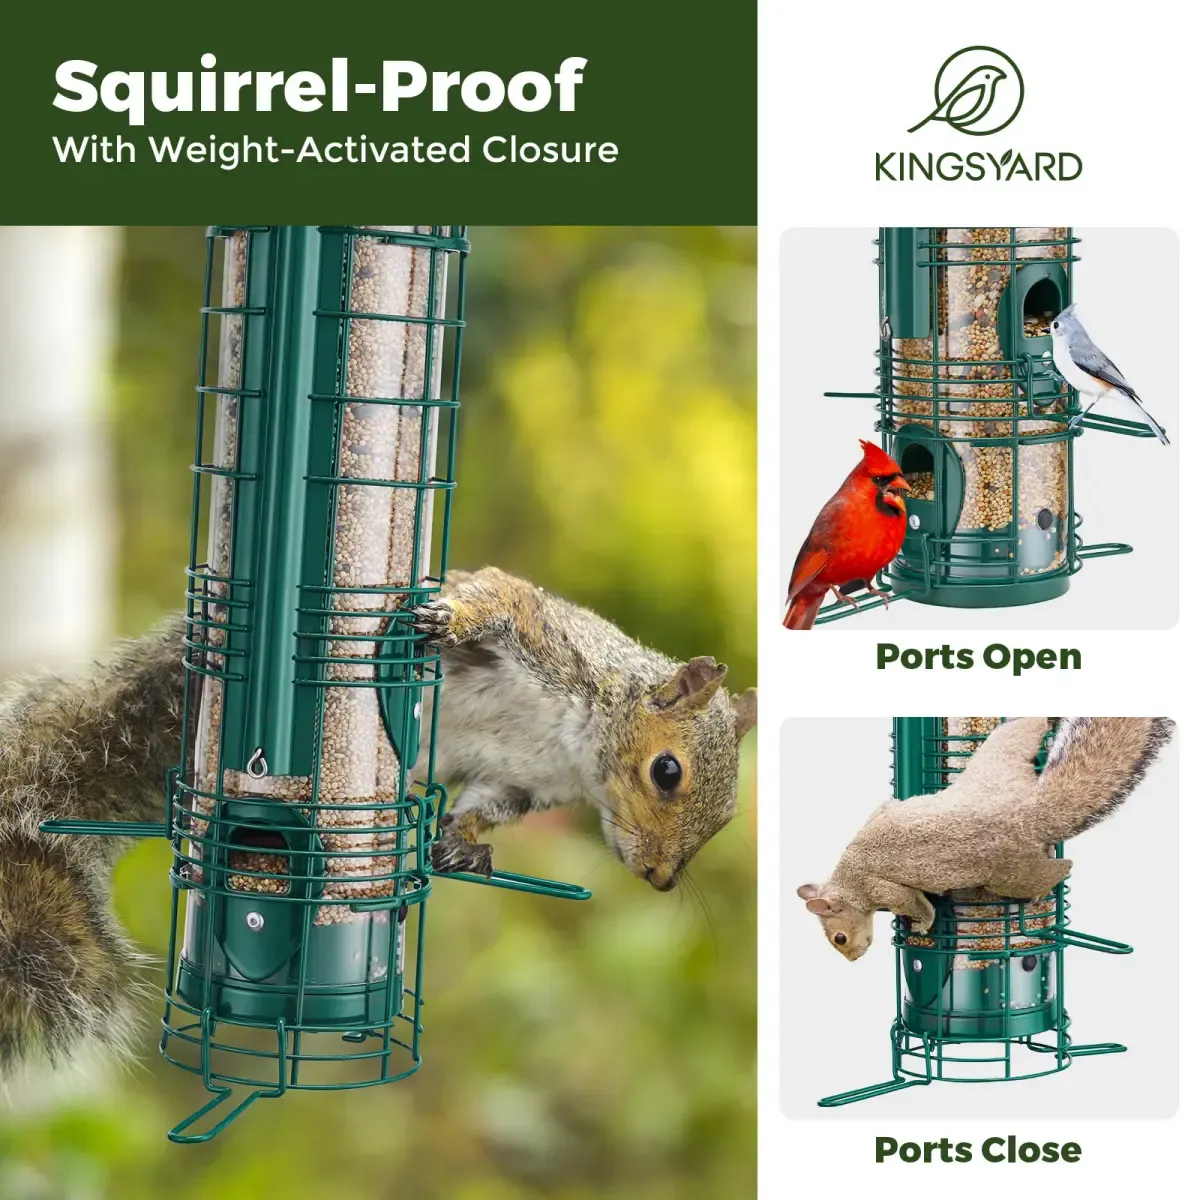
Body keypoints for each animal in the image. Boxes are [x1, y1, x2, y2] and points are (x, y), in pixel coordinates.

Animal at [0, 568, 755, 1081]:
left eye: (723, 817)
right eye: (667, 771)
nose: (659, 878)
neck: (579, 751)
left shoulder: (520, 782)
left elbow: (482, 807)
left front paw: (461, 846)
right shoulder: (550, 642)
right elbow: (499, 597)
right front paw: (447, 617)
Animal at [798, 717, 1174, 962]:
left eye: (839, 938)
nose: (854, 959)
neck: (848, 878)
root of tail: (1027, 813)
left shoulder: (880, 886)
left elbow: (915, 903)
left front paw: (922, 925)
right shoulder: (881, 814)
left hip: (1008, 873)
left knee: (1054, 870)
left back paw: (1051, 881)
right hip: (1000, 758)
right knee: (1023, 730)